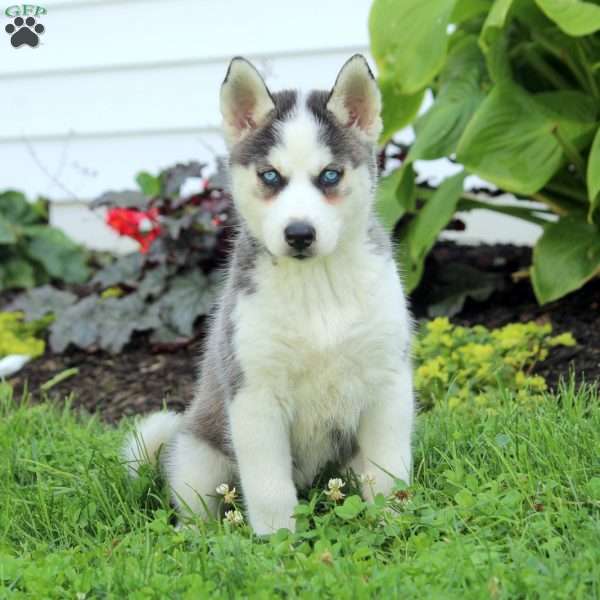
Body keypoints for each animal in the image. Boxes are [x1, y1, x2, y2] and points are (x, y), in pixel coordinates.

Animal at [124, 56, 414, 536]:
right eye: (271, 176)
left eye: (330, 175)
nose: (299, 234)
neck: (317, 287)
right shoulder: (254, 396)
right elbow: (269, 489)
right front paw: (278, 542)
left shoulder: (388, 383)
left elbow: (389, 472)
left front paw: (392, 524)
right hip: (197, 454)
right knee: (196, 511)